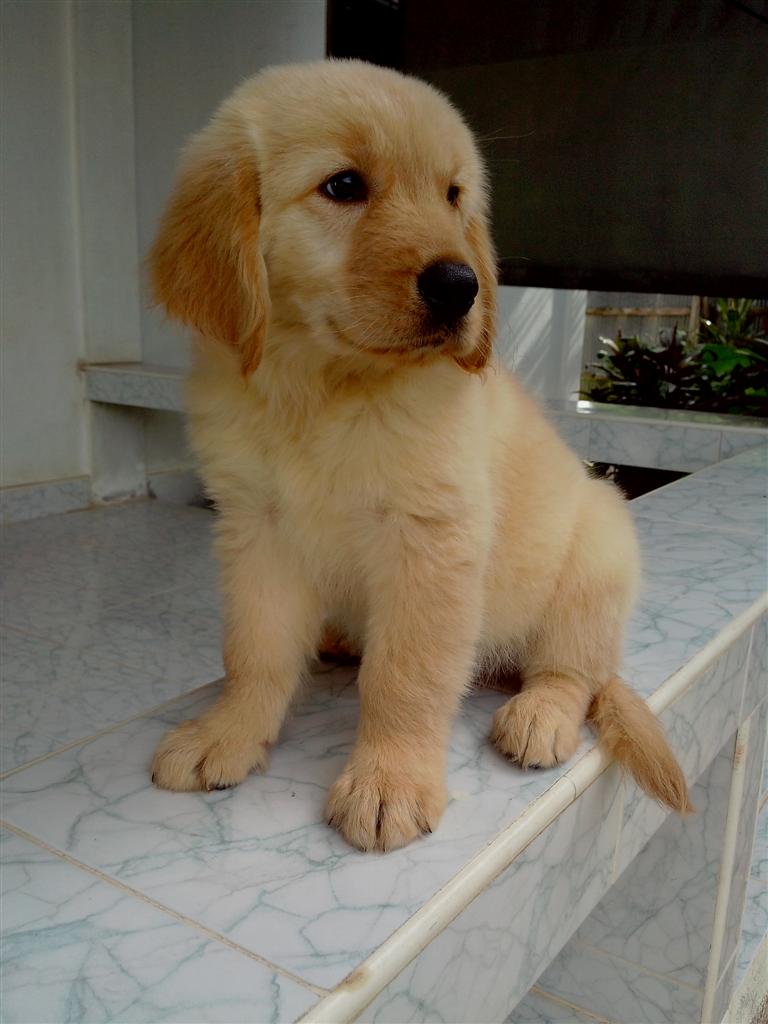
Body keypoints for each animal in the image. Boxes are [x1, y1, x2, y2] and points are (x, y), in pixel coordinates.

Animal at [149, 59, 690, 851]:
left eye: (453, 195)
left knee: (574, 671)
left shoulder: (431, 539)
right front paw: (227, 732)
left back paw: (539, 715)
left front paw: (388, 781)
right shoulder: (255, 527)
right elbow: (253, 651)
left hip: (597, 553)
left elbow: (406, 674)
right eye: (344, 185)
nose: (461, 286)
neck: (324, 389)